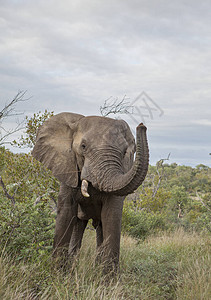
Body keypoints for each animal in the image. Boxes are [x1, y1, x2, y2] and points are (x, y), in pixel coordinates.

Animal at [32, 112, 149, 272]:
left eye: (125, 152)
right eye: (83, 146)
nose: (142, 126)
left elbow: (111, 216)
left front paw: (108, 279)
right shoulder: (68, 167)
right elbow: (66, 212)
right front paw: (56, 274)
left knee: (99, 227)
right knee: (78, 225)